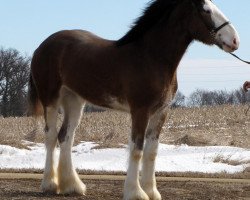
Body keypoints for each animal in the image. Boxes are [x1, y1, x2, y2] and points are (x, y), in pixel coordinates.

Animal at [28, 0, 239, 200]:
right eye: (206, 10)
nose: (235, 40)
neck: (150, 57)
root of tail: (41, 47)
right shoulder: (140, 111)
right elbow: (137, 149)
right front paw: (135, 192)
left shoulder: (161, 112)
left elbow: (151, 151)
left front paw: (151, 191)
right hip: (50, 99)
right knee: (50, 136)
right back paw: (50, 185)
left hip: (74, 100)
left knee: (65, 137)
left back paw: (72, 186)